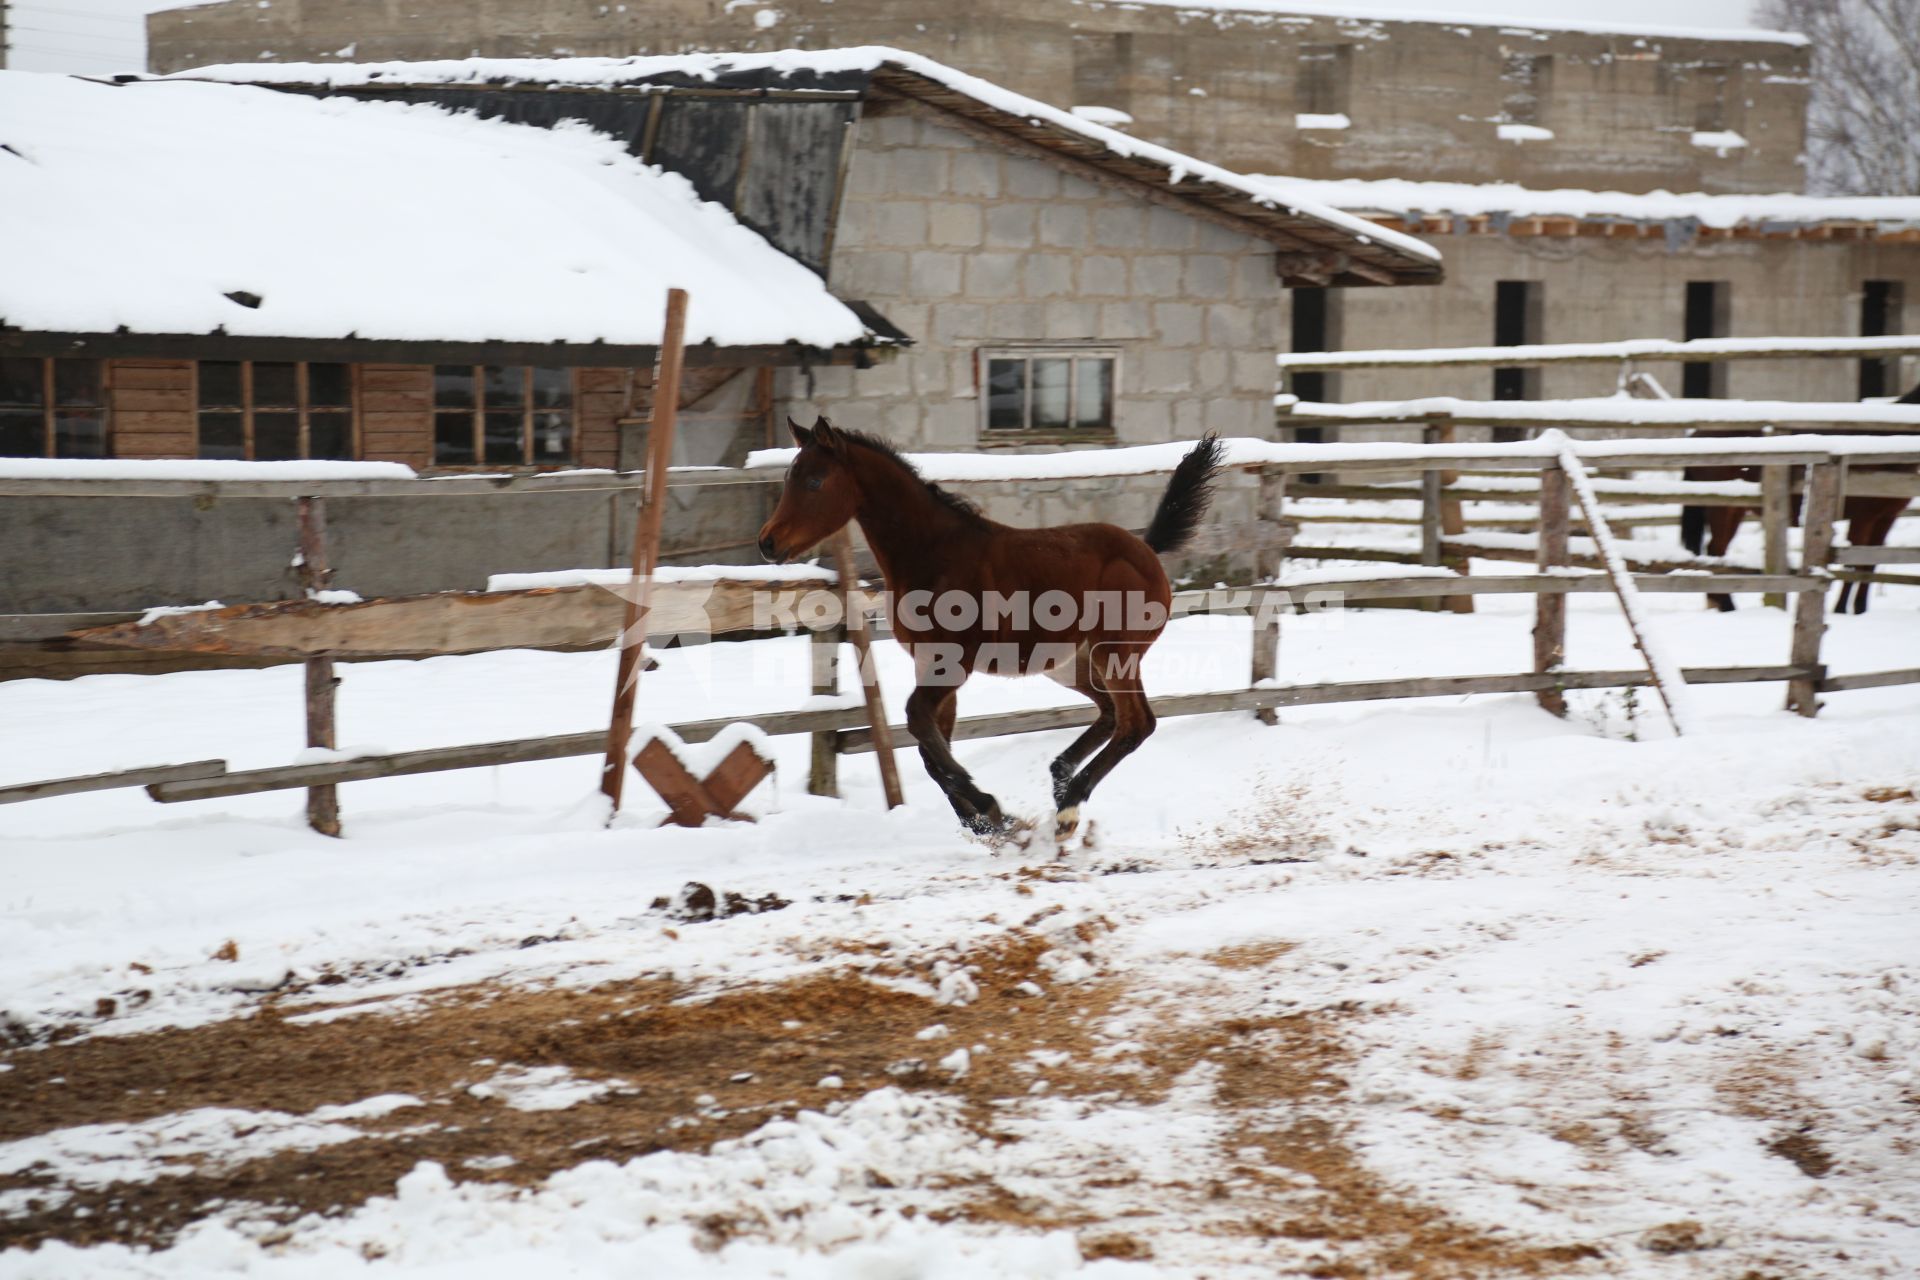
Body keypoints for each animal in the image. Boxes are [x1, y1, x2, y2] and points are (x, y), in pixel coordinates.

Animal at [756, 418, 1221, 840]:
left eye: (815, 481)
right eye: (789, 477)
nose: (767, 542)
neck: (933, 555)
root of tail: (1145, 549)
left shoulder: (952, 665)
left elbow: (919, 725)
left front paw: (990, 808)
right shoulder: (930, 665)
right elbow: (929, 746)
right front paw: (984, 822)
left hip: (1116, 652)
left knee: (1136, 723)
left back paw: (1069, 807)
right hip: (1069, 662)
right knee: (1109, 714)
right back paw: (1061, 786)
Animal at [1681, 383, 1920, 614]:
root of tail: (1696, 436)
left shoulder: (1886, 517)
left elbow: (1869, 564)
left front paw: (1860, 611)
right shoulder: (1863, 517)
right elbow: (1852, 564)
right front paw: (1840, 610)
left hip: (1734, 509)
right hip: (1721, 507)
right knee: (1716, 550)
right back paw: (1727, 606)